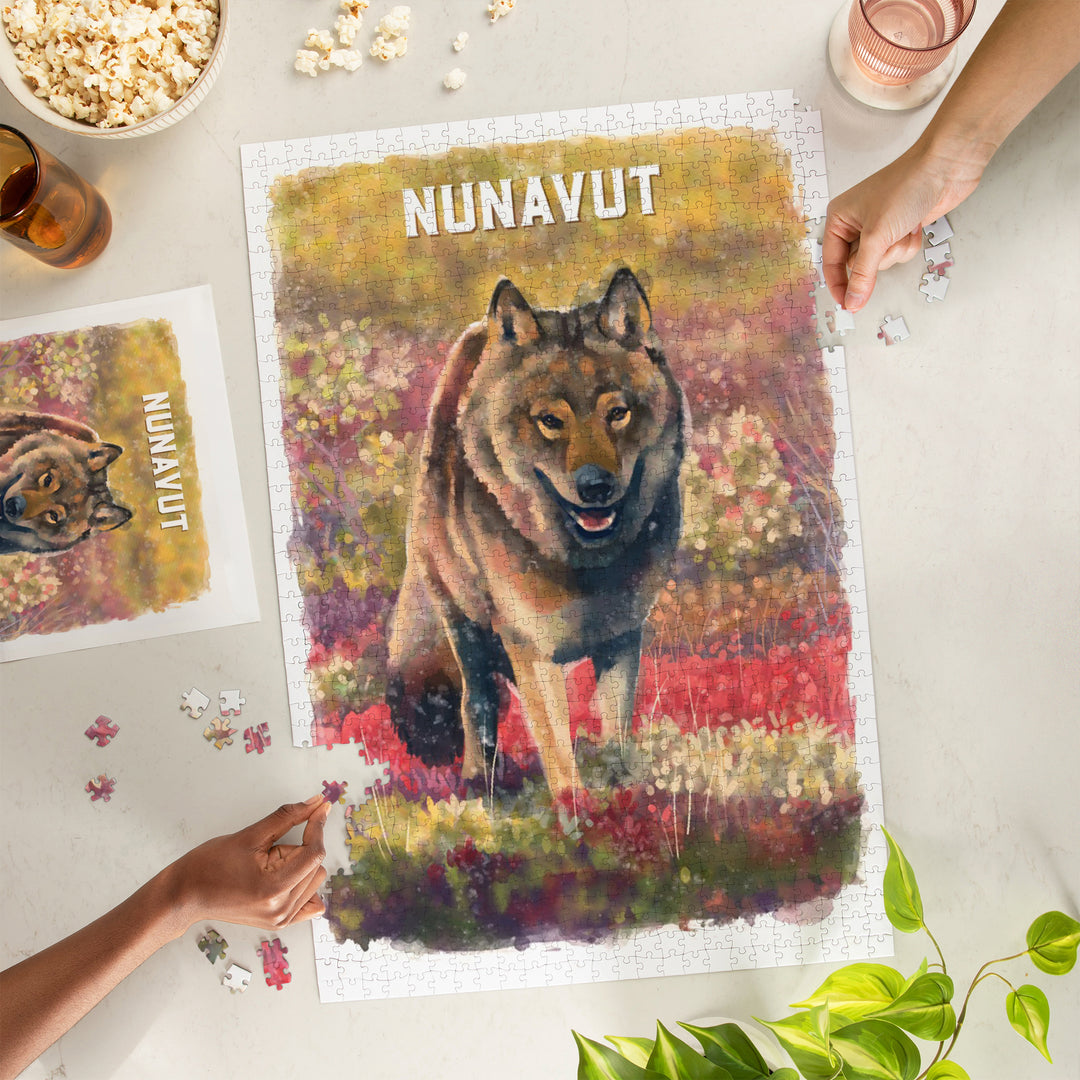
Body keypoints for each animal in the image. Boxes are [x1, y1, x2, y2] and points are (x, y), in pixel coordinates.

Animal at [386, 268, 689, 795]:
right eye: (550, 421)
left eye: (618, 413)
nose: (595, 486)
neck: (585, 564)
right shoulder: (531, 652)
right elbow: (559, 757)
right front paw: (576, 811)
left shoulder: (622, 640)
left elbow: (615, 736)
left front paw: (624, 797)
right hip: (464, 630)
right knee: (475, 705)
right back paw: (480, 788)